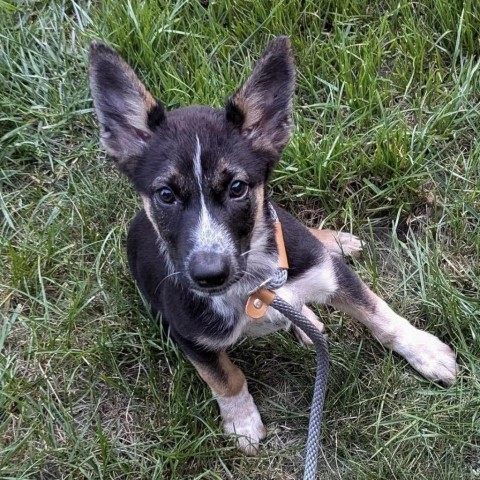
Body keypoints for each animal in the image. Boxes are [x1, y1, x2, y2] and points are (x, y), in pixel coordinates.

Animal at [87, 36, 458, 454]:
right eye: (166, 195)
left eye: (237, 188)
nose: (208, 275)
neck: (253, 285)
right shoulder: (190, 336)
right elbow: (225, 377)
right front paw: (242, 420)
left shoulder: (329, 274)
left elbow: (381, 315)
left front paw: (424, 351)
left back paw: (331, 249)